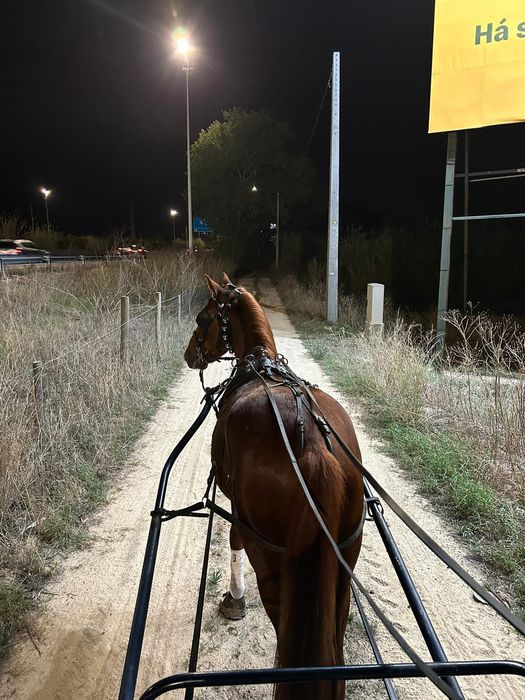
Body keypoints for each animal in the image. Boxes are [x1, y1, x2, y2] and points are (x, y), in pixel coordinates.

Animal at [184, 273, 364, 700]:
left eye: (202, 318)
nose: (188, 355)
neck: (259, 365)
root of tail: (313, 448)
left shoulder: (236, 506)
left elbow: (231, 538)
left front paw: (234, 598)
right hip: (344, 561)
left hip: (269, 554)